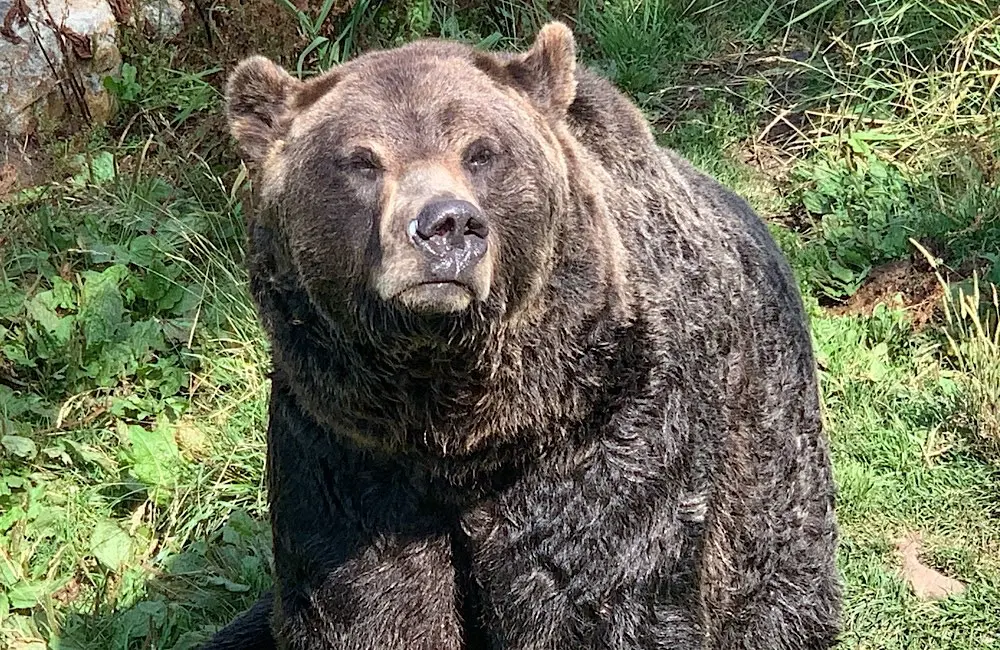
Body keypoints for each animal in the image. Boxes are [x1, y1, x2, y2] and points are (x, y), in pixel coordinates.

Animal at [204, 21, 842, 650]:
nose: (447, 225)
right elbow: (367, 605)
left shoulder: (608, 427)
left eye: (481, 153)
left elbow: (597, 595)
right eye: (362, 160)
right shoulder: (343, 450)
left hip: (773, 491)